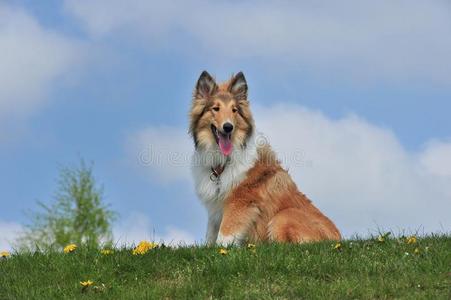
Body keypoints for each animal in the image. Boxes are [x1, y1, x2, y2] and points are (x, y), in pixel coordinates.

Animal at [189, 71, 340, 245]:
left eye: (234, 110)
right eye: (215, 108)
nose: (228, 127)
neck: (224, 161)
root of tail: (339, 239)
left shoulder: (239, 202)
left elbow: (224, 235)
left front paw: (224, 249)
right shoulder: (215, 208)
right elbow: (210, 235)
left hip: (283, 216)